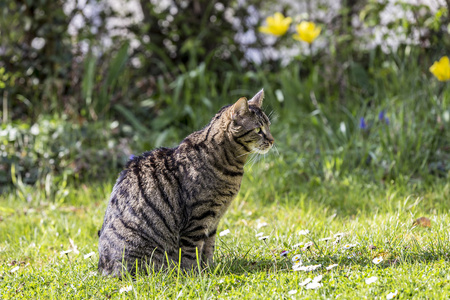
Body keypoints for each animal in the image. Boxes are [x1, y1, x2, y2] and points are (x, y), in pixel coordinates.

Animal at [98, 89, 274, 276]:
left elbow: (208, 248)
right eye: (258, 129)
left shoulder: (213, 220)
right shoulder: (198, 219)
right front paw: (194, 274)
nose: (272, 140)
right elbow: (192, 252)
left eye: (268, 126)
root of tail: (103, 269)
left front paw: (209, 269)